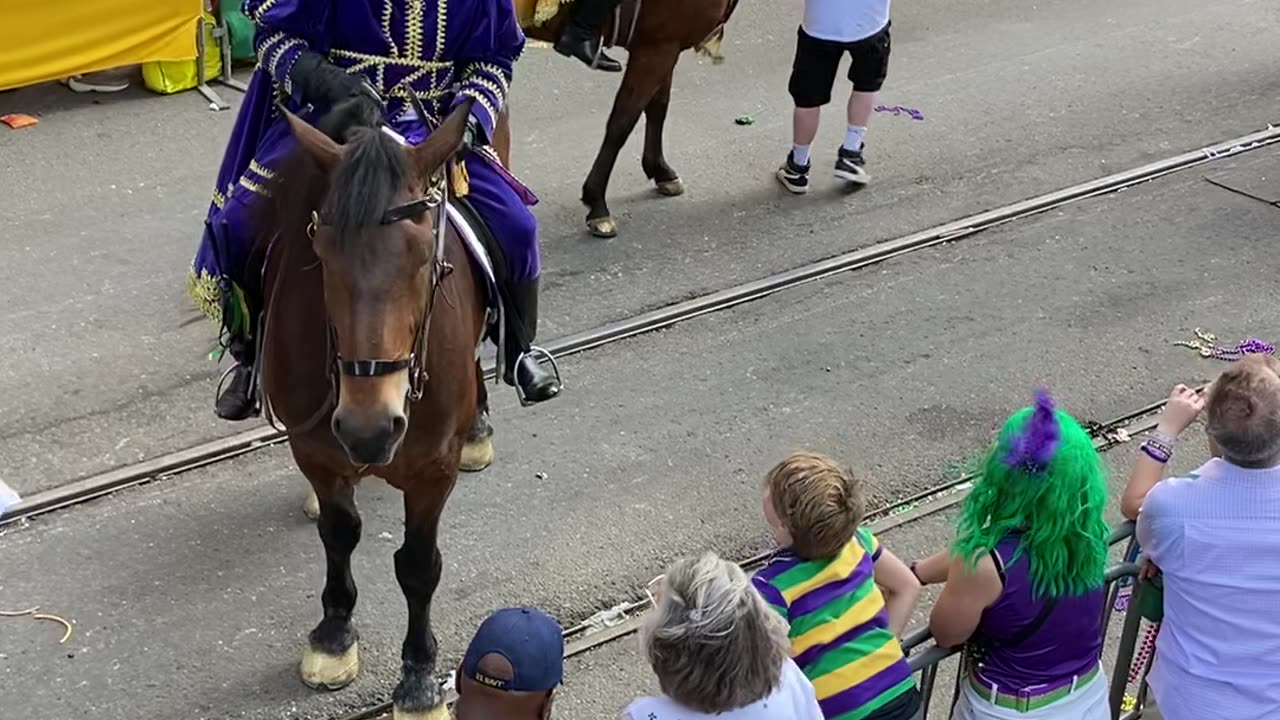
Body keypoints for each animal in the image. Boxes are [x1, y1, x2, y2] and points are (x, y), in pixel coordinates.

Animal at [259, 99, 494, 717]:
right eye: (322, 250)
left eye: (423, 254)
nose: (369, 429)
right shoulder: (315, 450)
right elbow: (340, 533)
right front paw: (334, 634)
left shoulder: (433, 468)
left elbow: (417, 565)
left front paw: (419, 678)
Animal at [519, 0, 742, 237]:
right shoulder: (657, 49)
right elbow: (622, 123)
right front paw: (597, 202)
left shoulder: (664, 48)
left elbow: (657, 108)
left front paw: (660, 170)